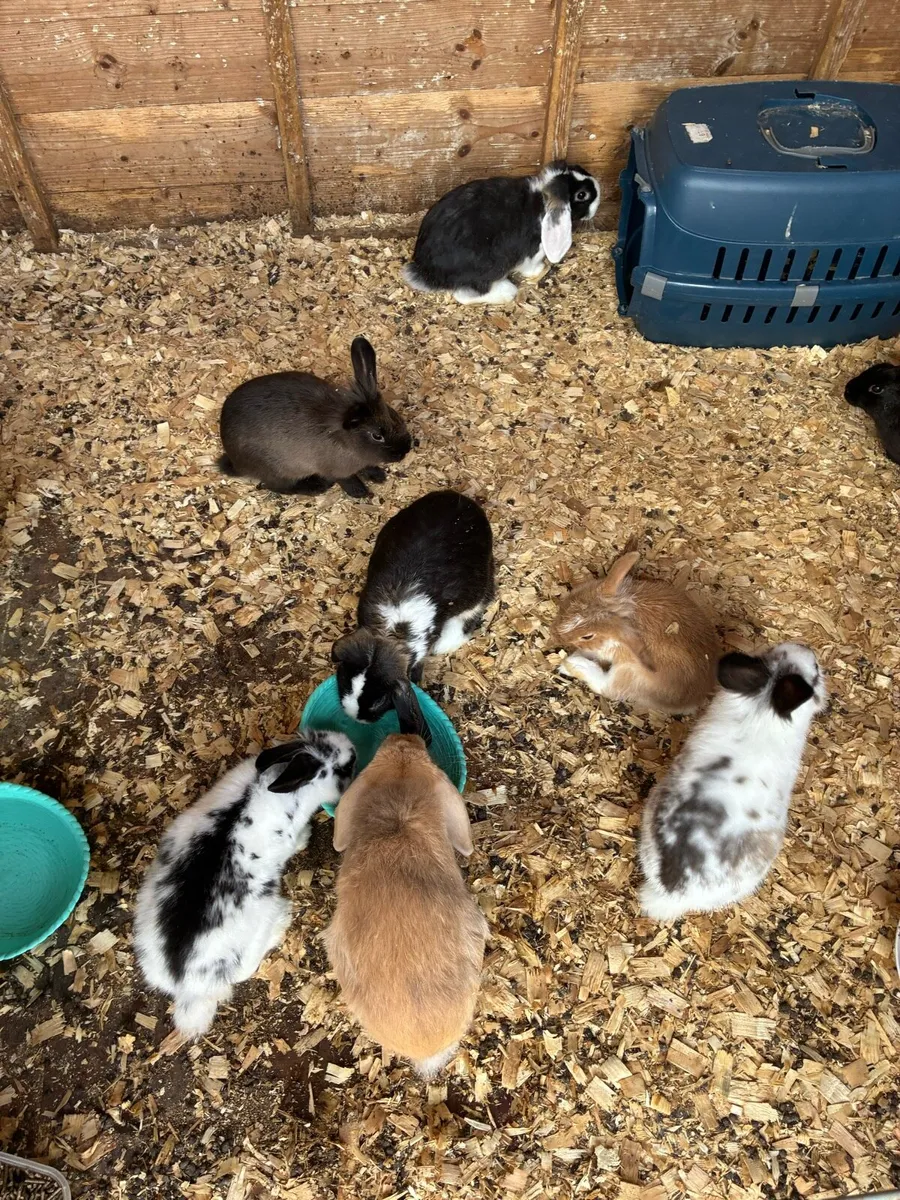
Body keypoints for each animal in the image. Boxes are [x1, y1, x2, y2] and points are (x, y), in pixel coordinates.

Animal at [133, 731, 356, 1037]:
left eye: (321, 735)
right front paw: (306, 838)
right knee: (244, 971)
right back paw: (282, 920)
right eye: (342, 768)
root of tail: (186, 986)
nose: (353, 750)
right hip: (260, 917)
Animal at [217, 336, 413, 498]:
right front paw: (360, 492)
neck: (347, 441)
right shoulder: (336, 470)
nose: (405, 450)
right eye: (377, 436)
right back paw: (316, 487)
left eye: (395, 416)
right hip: (279, 471)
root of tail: (235, 463)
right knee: (278, 487)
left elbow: (367, 466)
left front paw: (378, 476)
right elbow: (347, 480)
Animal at [332, 490, 494, 726]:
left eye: (380, 701)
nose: (358, 719)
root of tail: (459, 497)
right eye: (345, 681)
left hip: (480, 583)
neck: (389, 630)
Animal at [402, 162, 600, 305]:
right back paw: (507, 292)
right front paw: (540, 270)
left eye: (578, 168)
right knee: (465, 294)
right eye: (581, 195)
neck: (542, 200)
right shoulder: (533, 253)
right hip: (489, 269)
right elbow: (530, 266)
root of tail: (425, 272)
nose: (599, 188)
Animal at [550, 551, 720, 714]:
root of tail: (695, 699)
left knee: (603, 685)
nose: (555, 633)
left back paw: (569, 664)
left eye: (587, 636)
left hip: (629, 675)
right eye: (574, 595)